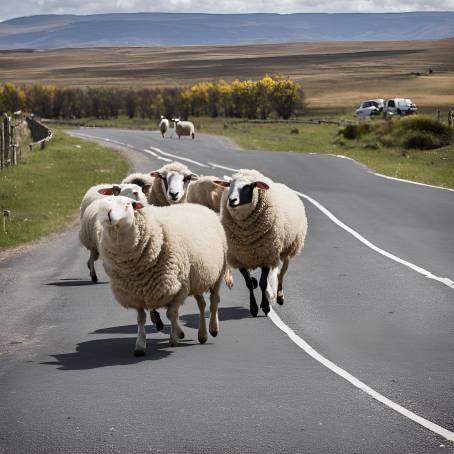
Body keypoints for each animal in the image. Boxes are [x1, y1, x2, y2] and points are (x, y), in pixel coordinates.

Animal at [95, 195, 231, 354]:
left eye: (128, 204)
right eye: (105, 203)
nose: (108, 214)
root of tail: (199, 205)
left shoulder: (180, 287)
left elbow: (171, 314)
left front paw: (174, 339)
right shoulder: (135, 294)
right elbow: (141, 319)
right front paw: (140, 345)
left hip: (218, 273)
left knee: (214, 301)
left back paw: (213, 328)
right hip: (197, 275)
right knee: (202, 304)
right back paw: (202, 334)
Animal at [214, 168, 306, 318]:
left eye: (248, 186)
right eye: (229, 185)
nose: (232, 200)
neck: (247, 236)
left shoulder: (266, 256)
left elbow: (263, 283)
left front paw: (266, 307)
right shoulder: (241, 259)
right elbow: (249, 284)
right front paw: (254, 307)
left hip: (288, 249)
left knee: (282, 274)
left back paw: (279, 296)